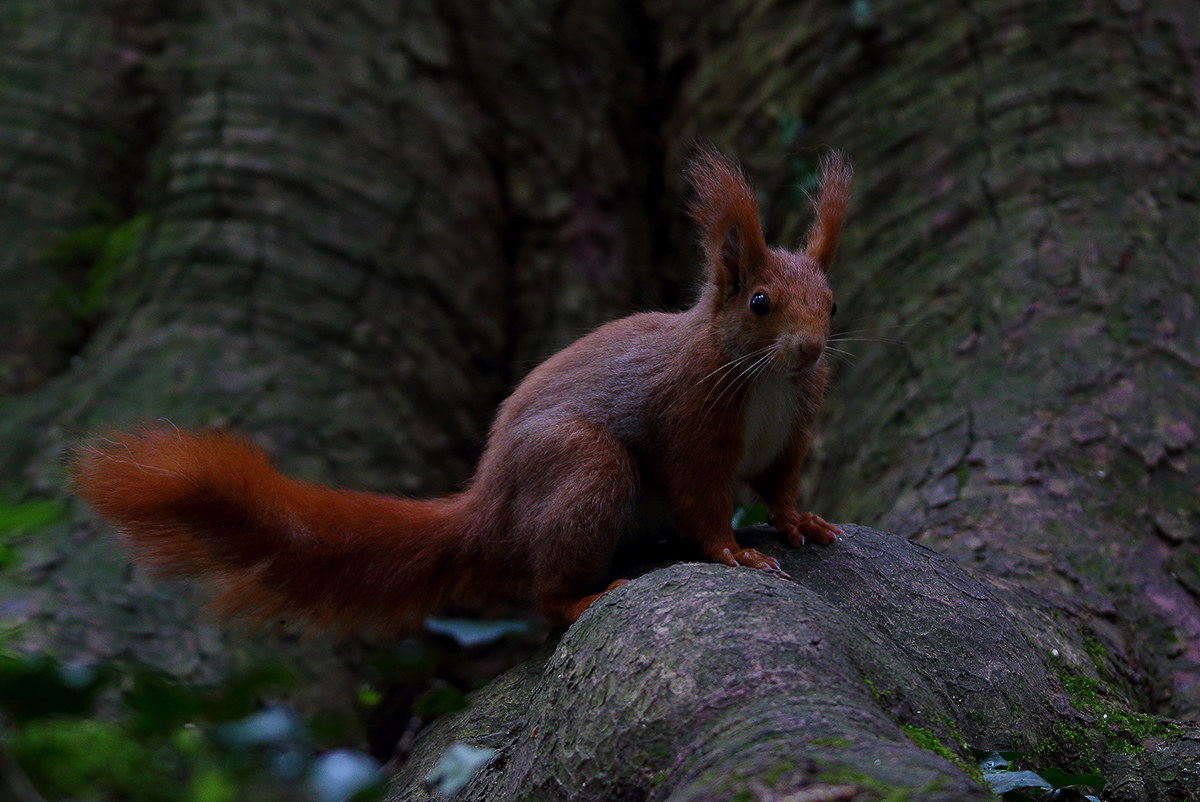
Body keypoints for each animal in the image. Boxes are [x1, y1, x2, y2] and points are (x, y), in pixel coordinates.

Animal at [71, 147, 852, 630]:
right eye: (759, 303)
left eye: (833, 304)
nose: (811, 350)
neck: (764, 378)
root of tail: (490, 507)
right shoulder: (693, 415)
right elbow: (701, 497)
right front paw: (733, 552)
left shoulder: (794, 423)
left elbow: (780, 482)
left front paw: (801, 521)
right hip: (581, 467)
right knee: (545, 585)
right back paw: (580, 599)